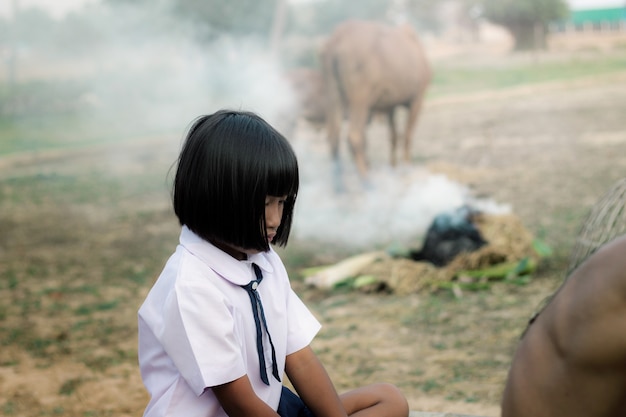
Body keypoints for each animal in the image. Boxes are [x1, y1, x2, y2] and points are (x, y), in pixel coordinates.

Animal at [320, 20, 432, 186]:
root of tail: (336, 41)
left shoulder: (390, 104)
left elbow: (393, 136)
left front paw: (393, 166)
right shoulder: (417, 98)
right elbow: (407, 134)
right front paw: (407, 166)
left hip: (332, 93)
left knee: (334, 136)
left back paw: (339, 185)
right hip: (360, 96)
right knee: (354, 135)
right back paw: (367, 181)